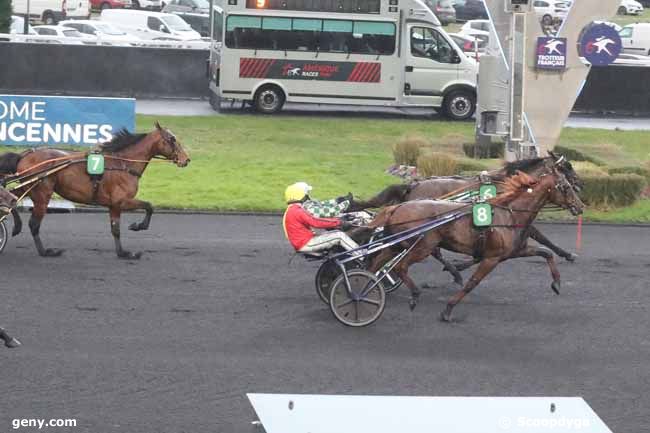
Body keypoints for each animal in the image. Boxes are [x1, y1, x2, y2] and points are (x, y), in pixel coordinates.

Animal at [0, 121, 190, 258]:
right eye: (172, 139)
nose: (186, 159)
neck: (123, 164)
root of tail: (24, 155)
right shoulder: (122, 201)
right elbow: (149, 206)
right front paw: (138, 226)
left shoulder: (114, 205)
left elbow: (115, 229)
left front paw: (123, 253)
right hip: (41, 193)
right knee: (33, 223)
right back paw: (46, 251)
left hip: (28, 186)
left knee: (12, 198)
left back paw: (17, 226)